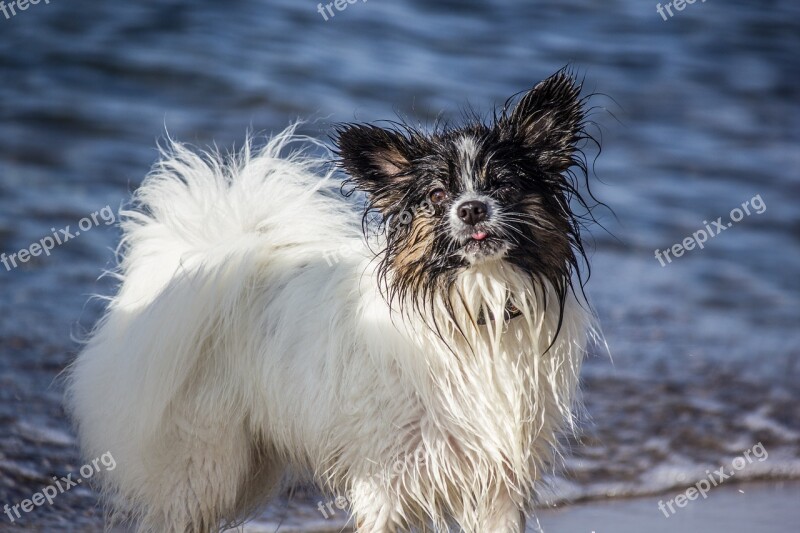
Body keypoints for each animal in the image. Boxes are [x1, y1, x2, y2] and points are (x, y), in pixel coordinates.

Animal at [65, 71, 600, 532]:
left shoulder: (500, 483)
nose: (471, 209)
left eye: (503, 185)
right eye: (436, 195)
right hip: (203, 467)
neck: (473, 311)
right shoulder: (385, 476)